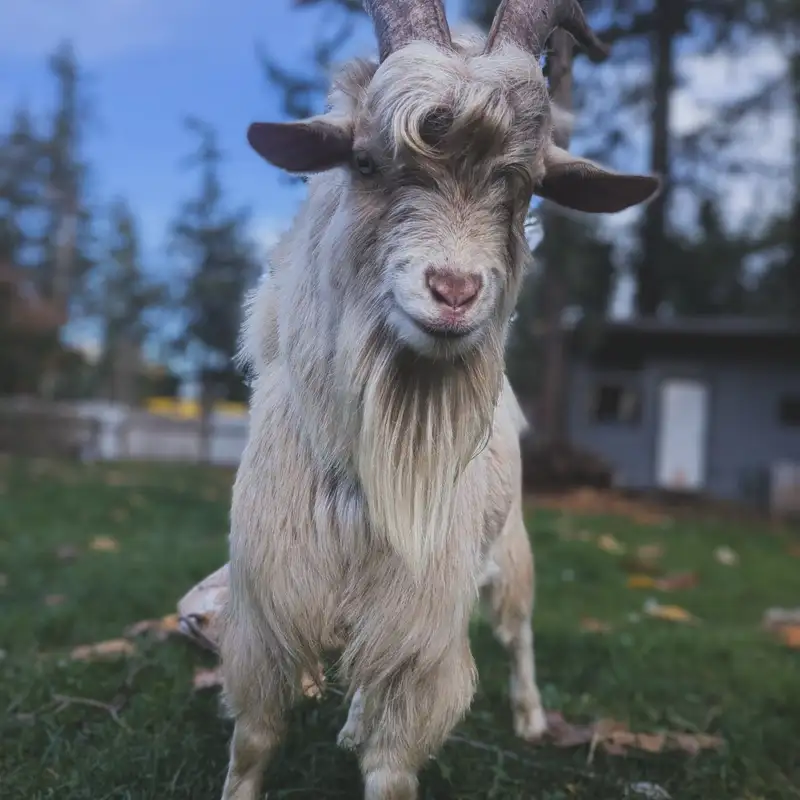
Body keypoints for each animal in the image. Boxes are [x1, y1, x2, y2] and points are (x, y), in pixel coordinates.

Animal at [219, 2, 660, 798]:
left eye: (525, 187)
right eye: (365, 162)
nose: (454, 291)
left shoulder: (423, 629)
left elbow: (393, 766)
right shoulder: (268, 606)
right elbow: (256, 740)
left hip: (509, 549)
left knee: (519, 634)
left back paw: (531, 718)